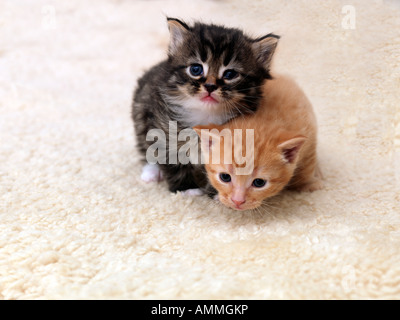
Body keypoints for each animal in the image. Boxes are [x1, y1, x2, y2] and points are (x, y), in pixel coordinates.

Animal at [133, 17, 280, 191]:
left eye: (230, 74)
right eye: (196, 69)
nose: (210, 86)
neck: (206, 115)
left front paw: (216, 193)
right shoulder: (163, 131)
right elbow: (173, 161)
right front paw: (186, 189)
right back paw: (151, 172)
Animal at [195, 74, 324, 211]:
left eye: (259, 183)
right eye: (225, 177)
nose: (237, 201)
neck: (261, 118)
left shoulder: (309, 133)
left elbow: (307, 165)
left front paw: (309, 183)